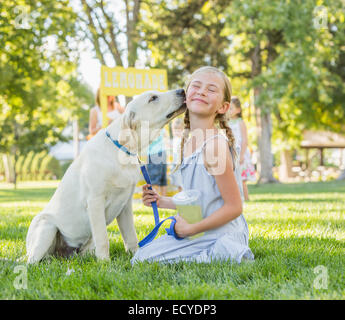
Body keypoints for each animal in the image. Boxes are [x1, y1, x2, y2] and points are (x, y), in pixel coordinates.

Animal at [26, 89, 185, 264]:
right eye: (153, 98)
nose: (182, 90)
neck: (122, 150)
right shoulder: (95, 201)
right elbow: (103, 238)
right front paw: (104, 263)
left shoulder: (126, 205)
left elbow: (131, 236)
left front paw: (136, 255)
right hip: (46, 227)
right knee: (32, 261)